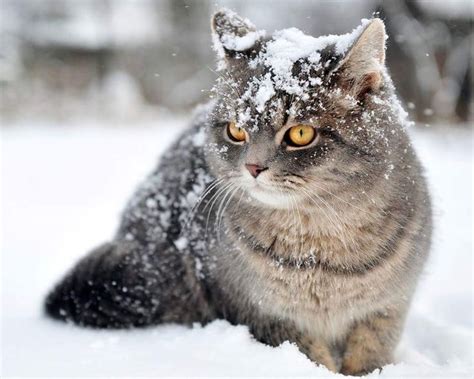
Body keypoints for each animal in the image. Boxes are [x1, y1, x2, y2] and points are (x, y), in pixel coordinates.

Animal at [45, 9, 434, 378]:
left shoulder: (387, 309)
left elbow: (370, 354)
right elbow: (311, 356)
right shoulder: (264, 313)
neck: (319, 250)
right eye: (236, 130)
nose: (253, 167)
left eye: (301, 134)